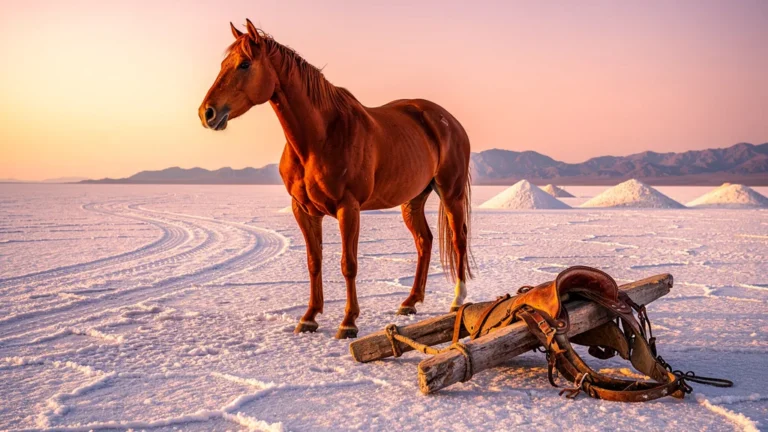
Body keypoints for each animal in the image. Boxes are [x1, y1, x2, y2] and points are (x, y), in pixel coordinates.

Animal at [199, 19, 473, 339]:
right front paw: (309, 317)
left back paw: (457, 300)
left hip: (451, 192)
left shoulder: (348, 207)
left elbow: (348, 264)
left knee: (458, 239)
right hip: (413, 199)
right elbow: (313, 262)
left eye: (244, 64)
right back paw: (410, 302)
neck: (319, 138)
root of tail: (447, 120)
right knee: (424, 241)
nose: (207, 113)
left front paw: (348, 322)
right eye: (223, 64)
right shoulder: (303, 210)